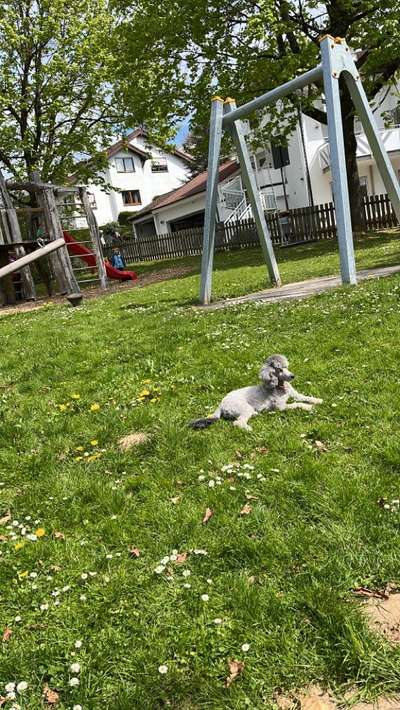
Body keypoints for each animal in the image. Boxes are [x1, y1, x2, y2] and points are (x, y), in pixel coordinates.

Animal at [189, 354, 324, 432]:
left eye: (287, 367)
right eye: (280, 369)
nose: (292, 376)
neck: (279, 386)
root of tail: (221, 404)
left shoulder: (295, 395)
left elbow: (305, 397)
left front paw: (318, 400)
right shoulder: (281, 407)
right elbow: (297, 404)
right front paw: (308, 407)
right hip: (244, 407)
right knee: (237, 422)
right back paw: (248, 428)